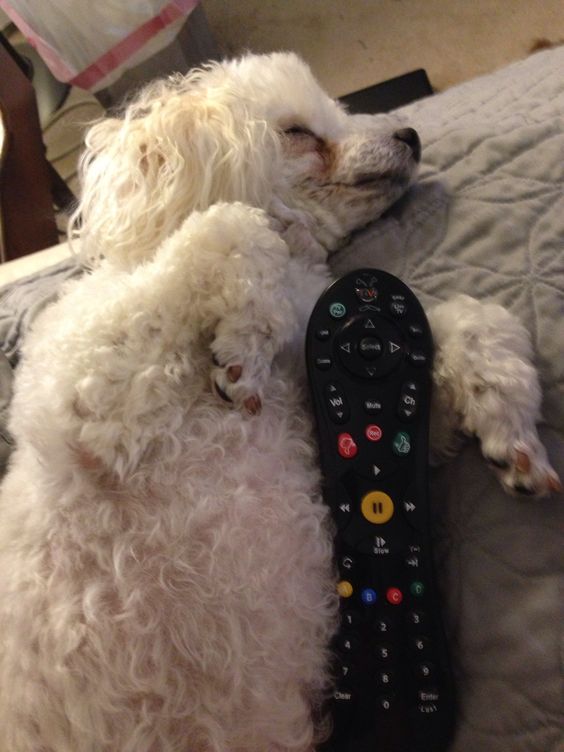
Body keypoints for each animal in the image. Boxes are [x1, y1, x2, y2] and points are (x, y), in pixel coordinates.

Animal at [0, 53, 556, 752]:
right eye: (297, 133)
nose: (410, 134)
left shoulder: (358, 430)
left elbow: (476, 328)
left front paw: (514, 436)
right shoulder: (87, 397)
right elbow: (233, 224)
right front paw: (244, 339)